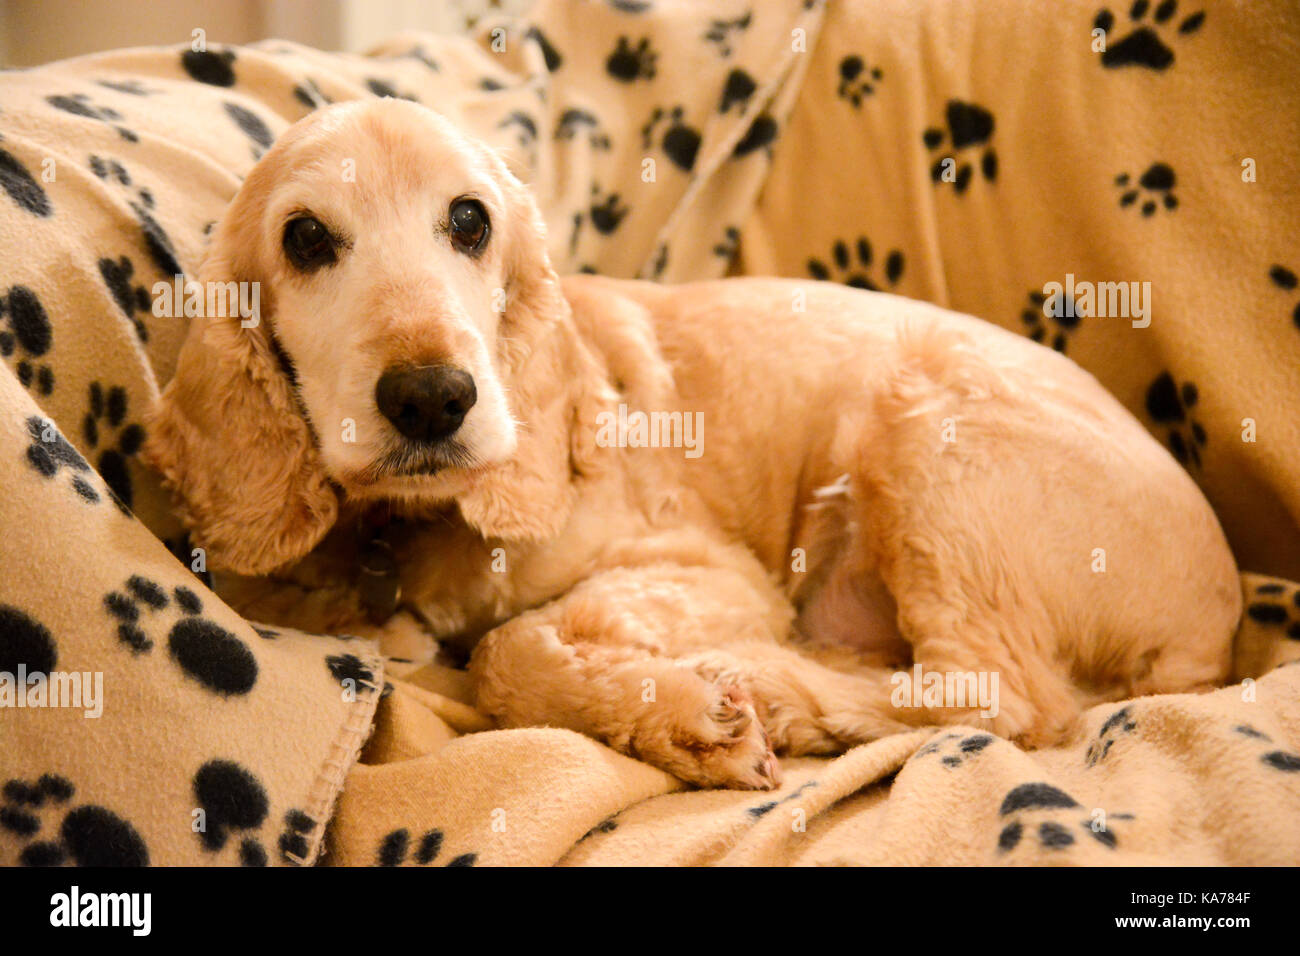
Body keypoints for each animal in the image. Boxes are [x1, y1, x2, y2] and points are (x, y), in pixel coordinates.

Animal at [142, 97, 1237, 790]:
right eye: (305, 238)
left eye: (469, 220)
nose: (431, 399)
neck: (414, 525)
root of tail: (1217, 621)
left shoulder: (710, 571)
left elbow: (506, 649)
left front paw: (688, 716)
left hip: (930, 442)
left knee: (1001, 696)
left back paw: (775, 687)